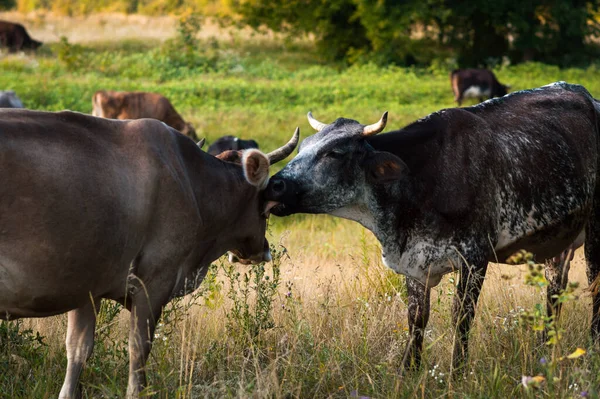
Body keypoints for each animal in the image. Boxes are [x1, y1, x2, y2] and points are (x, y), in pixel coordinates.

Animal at [0, 108, 298, 398]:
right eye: (267, 203)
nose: (263, 250)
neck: (193, 181)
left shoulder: (87, 286)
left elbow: (78, 350)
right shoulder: (154, 281)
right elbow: (138, 348)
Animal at [264, 83, 600, 374]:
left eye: (334, 153)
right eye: (302, 147)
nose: (274, 184)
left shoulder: (474, 258)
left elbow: (461, 317)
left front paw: (457, 372)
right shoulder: (414, 263)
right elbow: (416, 318)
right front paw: (408, 370)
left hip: (595, 231)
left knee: (594, 284)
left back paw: (592, 347)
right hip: (561, 240)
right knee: (555, 291)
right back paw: (545, 349)